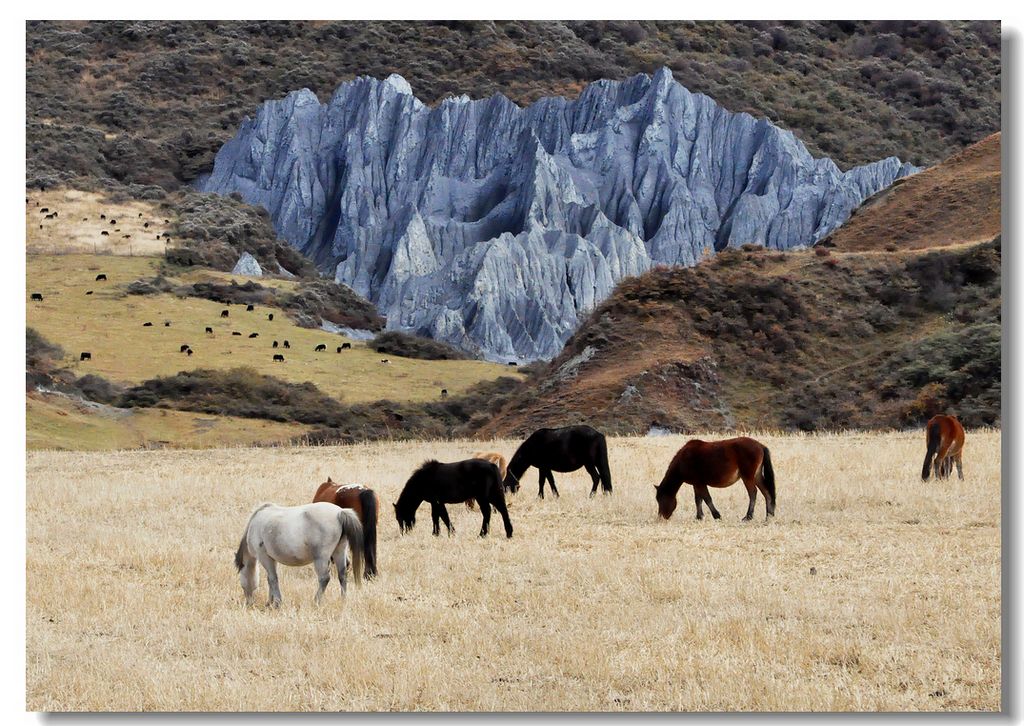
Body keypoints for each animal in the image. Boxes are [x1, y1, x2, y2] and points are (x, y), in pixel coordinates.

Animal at [233, 497, 364, 606]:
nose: (248, 603)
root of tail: (340, 512)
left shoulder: (265, 557)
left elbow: (272, 578)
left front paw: (276, 602)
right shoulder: (272, 559)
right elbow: (271, 579)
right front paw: (270, 602)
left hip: (321, 558)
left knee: (324, 578)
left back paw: (316, 601)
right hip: (339, 552)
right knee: (342, 576)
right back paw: (343, 600)